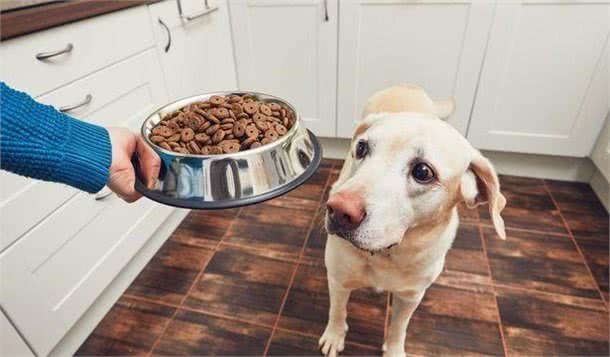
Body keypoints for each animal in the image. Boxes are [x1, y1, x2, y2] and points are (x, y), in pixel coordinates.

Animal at [318, 85, 504, 354]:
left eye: (423, 172)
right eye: (362, 149)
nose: (339, 211)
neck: (387, 255)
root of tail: (406, 86)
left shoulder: (411, 297)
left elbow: (399, 328)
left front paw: (394, 351)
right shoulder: (338, 280)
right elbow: (337, 312)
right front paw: (334, 336)